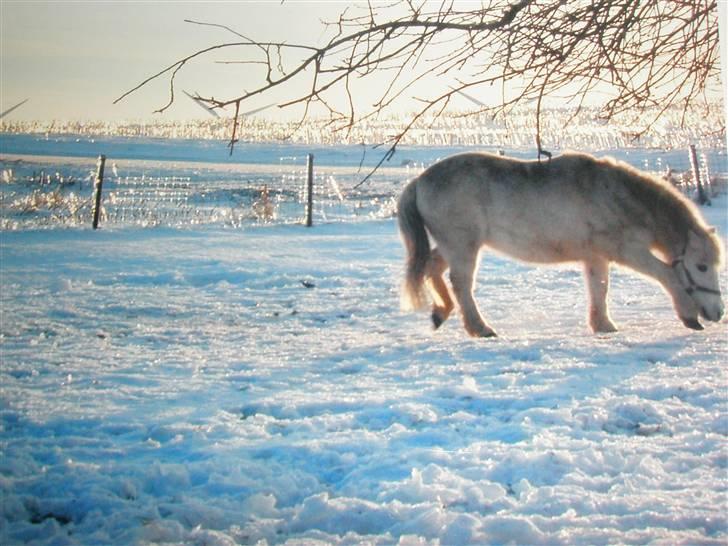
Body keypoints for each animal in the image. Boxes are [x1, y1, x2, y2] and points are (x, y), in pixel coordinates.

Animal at [398, 151, 724, 334]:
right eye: (702, 266)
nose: (719, 313)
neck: (617, 197)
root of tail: (419, 181)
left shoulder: (596, 257)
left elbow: (599, 288)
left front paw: (602, 325)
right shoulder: (628, 251)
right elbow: (668, 274)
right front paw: (689, 316)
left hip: (454, 245)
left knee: (432, 267)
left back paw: (441, 313)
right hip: (463, 246)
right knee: (461, 284)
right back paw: (480, 328)